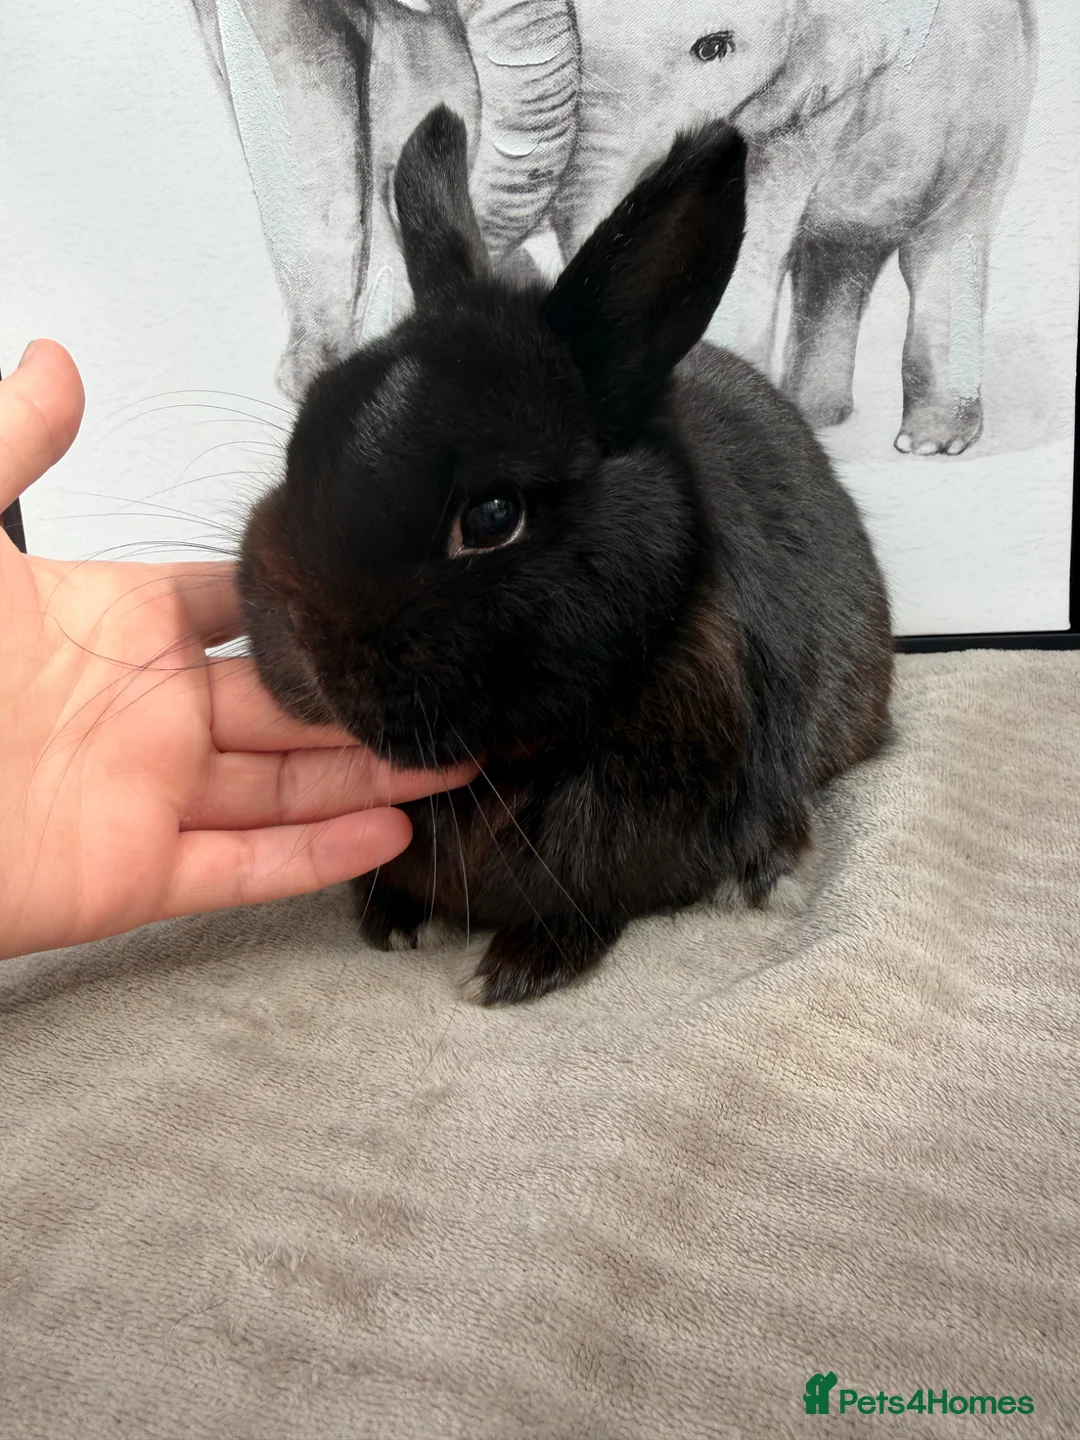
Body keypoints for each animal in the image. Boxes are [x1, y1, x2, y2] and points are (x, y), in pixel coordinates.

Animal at [238, 104, 894, 1006]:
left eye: (493, 516)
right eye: (301, 443)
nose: (304, 646)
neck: (511, 761)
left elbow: (591, 904)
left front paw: (515, 969)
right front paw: (394, 919)